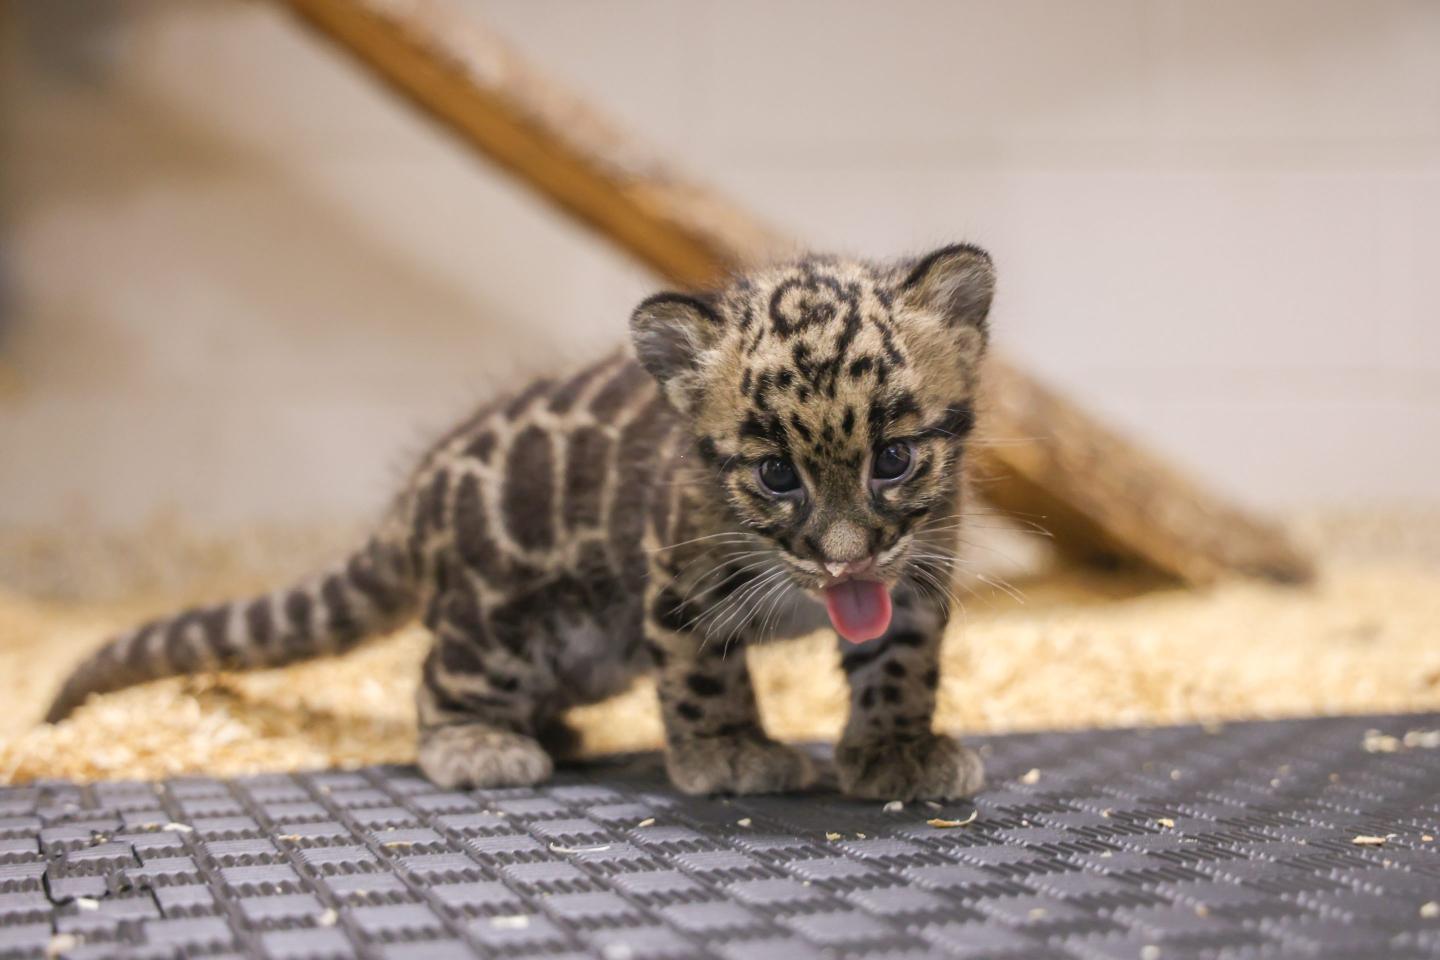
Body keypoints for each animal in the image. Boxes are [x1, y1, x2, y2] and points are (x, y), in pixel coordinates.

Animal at [45, 244, 995, 801]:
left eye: (892, 458)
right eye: (774, 474)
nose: (844, 563)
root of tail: (417, 497)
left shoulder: (915, 576)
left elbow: (899, 666)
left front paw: (899, 752)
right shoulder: (677, 586)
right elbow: (704, 678)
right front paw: (731, 754)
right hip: (502, 622)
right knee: (436, 685)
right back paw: (482, 745)